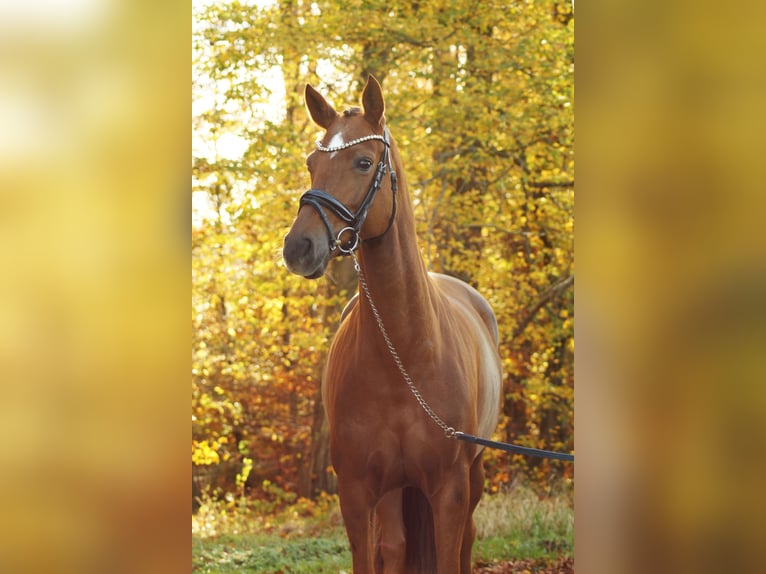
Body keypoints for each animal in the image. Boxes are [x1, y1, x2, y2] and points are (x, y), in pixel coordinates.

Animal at [284, 77, 504, 574]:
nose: (298, 248)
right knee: (397, 546)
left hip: (474, 474)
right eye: (311, 163)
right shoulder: (357, 492)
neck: (404, 355)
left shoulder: (450, 490)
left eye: (364, 162)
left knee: (467, 539)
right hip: (393, 492)